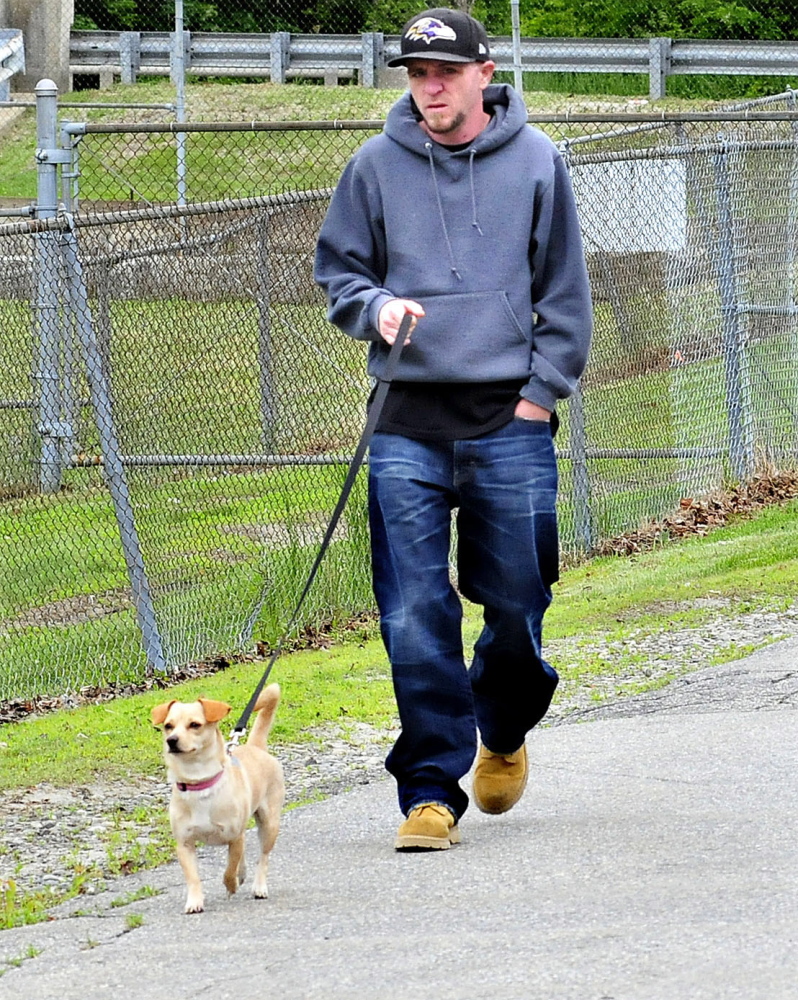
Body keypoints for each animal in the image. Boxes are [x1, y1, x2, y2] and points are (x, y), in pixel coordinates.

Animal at [152, 684, 286, 912]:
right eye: (168, 726)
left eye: (195, 725)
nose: (172, 740)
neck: (199, 783)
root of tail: (256, 746)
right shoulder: (184, 844)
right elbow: (193, 877)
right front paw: (194, 901)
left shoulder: (234, 836)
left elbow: (229, 868)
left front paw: (231, 885)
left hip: (269, 824)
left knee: (263, 857)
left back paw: (259, 886)